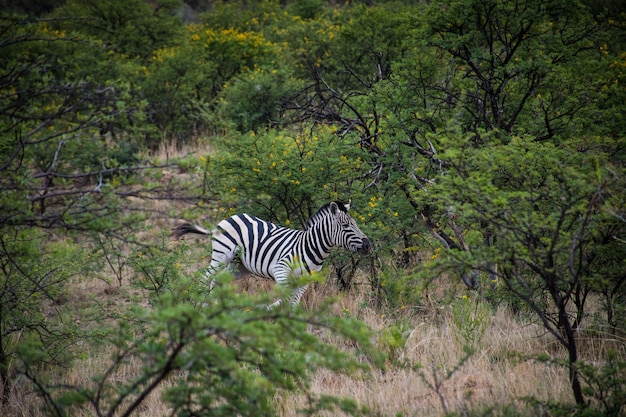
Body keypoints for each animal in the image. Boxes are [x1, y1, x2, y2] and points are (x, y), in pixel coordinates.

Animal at [172, 201, 370, 306]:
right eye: (346, 225)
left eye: (355, 223)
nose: (368, 244)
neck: (311, 248)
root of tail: (231, 217)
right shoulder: (281, 270)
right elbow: (283, 299)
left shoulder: (303, 282)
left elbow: (293, 303)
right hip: (222, 255)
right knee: (205, 277)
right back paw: (198, 303)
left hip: (239, 266)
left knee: (217, 280)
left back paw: (213, 304)